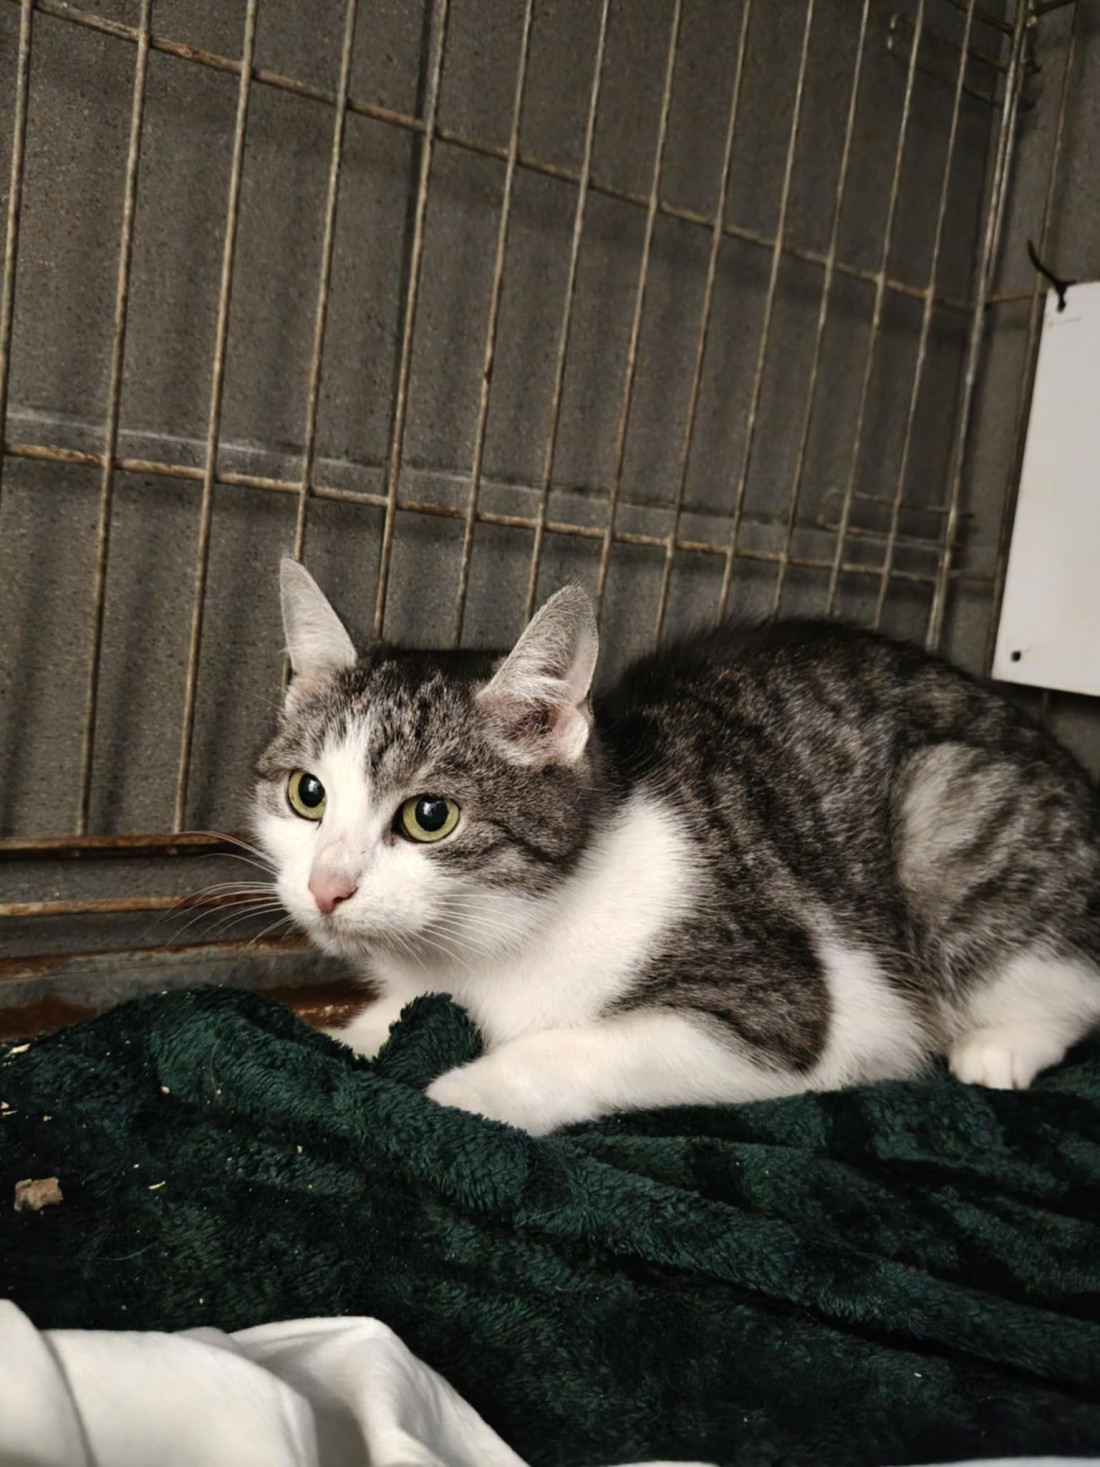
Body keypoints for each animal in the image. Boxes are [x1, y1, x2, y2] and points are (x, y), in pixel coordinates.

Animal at [254, 557, 1100, 1136]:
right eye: (307, 794)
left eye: (430, 814)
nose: (326, 886)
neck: (487, 948)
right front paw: (350, 1031)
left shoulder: (785, 1008)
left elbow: (585, 1044)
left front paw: (473, 1090)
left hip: (945, 809)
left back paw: (999, 1046)